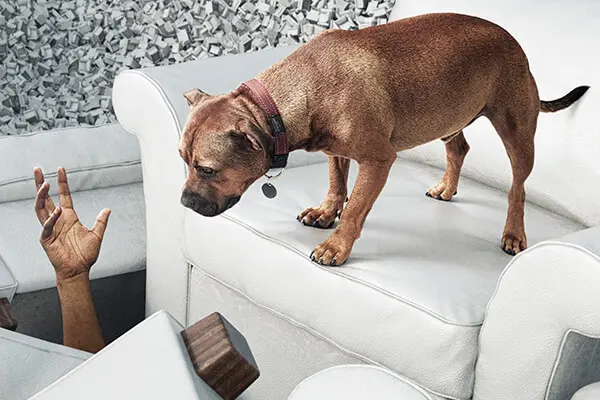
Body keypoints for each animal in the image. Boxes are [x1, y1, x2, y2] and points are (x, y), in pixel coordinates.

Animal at [179, 13, 592, 266]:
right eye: (182, 160)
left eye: (207, 169)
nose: (184, 202)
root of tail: (515, 42)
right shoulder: (335, 151)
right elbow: (336, 184)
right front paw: (326, 212)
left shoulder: (378, 161)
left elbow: (355, 208)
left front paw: (336, 245)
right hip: (448, 116)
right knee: (459, 149)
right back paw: (447, 187)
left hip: (517, 133)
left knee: (517, 188)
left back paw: (513, 233)